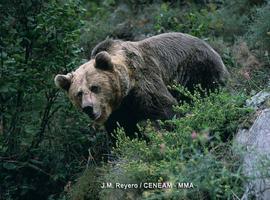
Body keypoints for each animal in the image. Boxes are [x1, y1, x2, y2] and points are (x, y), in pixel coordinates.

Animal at [54, 32, 230, 139]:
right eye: (78, 93)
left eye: (94, 87)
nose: (88, 108)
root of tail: (209, 45)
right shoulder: (119, 111)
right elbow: (123, 129)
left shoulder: (144, 81)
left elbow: (163, 108)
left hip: (198, 69)